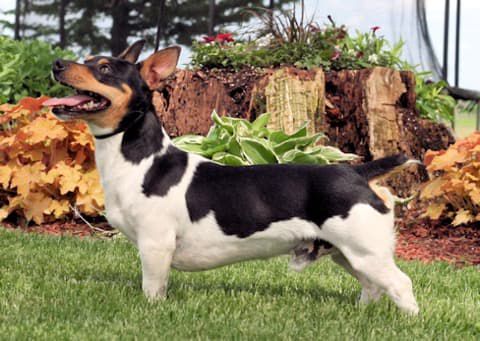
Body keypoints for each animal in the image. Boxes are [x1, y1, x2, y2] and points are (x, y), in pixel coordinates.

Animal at [45, 39, 420, 314]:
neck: (141, 161)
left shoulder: (155, 245)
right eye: (88, 59)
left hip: (365, 251)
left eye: (104, 68)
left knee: (401, 285)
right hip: (350, 253)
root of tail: (357, 171)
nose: (57, 63)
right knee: (372, 287)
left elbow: (152, 289)